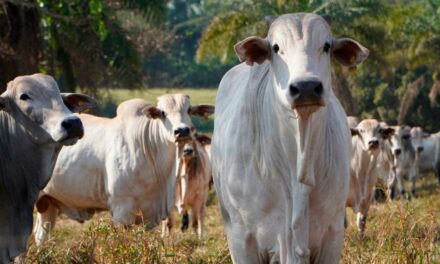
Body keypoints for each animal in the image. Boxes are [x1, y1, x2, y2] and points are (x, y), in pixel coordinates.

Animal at [33, 95, 214, 248]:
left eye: (189, 109)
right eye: (163, 112)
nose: (182, 131)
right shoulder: (122, 210)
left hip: (49, 204)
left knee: (41, 236)